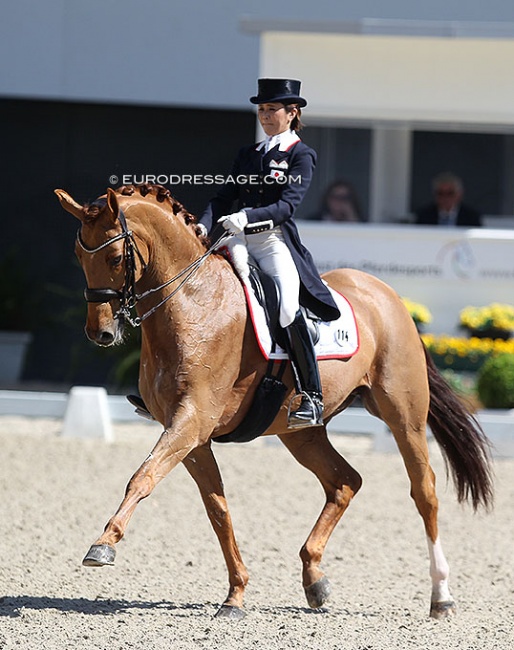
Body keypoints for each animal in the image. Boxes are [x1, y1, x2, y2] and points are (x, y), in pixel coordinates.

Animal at [54, 181, 490, 616]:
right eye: (78, 255)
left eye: (114, 256)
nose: (101, 333)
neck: (194, 303)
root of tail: (386, 294)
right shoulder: (193, 435)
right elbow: (217, 508)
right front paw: (235, 594)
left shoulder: (191, 420)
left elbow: (142, 477)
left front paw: (103, 545)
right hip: (300, 432)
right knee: (345, 481)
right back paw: (315, 580)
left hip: (404, 415)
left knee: (424, 492)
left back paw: (441, 596)